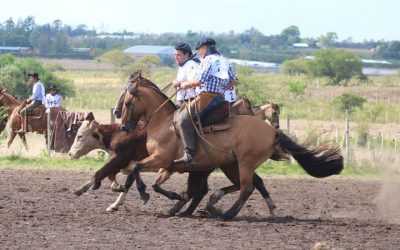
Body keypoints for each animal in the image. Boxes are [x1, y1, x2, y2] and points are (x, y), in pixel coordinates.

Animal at [119, 73, 344, 219]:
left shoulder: (162, 159)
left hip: (244, 163)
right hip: (230, 164)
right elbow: (147, 178)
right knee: (240, 186)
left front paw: (147, 194)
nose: (122, 125)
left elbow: (138, 169)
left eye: (128, 102)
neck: (164, 123)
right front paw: (170, 198)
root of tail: (272, 131)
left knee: (247, 188)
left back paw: (226, 213)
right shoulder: (168, 165)